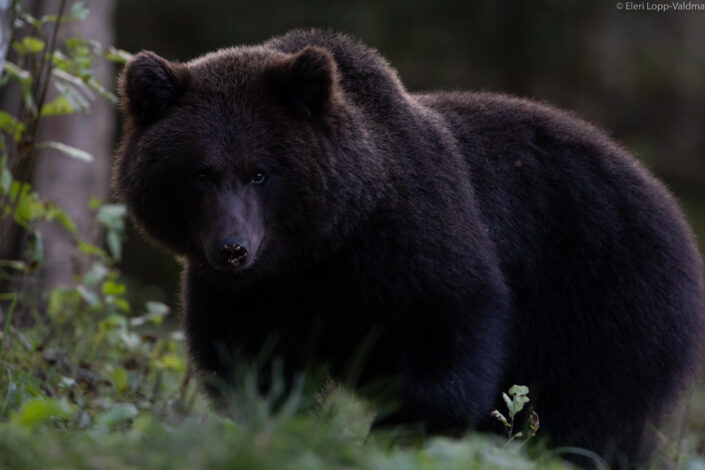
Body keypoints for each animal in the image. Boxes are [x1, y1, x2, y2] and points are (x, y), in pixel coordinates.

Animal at [115, 28, 704, 466]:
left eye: (260, 172)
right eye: (200, 173)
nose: (232, 248)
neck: (323, 243)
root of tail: (672, 206)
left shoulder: (410, 243)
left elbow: (445, 342)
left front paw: (400, 437)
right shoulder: (249, 296)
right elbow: (254, 372)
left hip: (606, 299)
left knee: (590, 418)